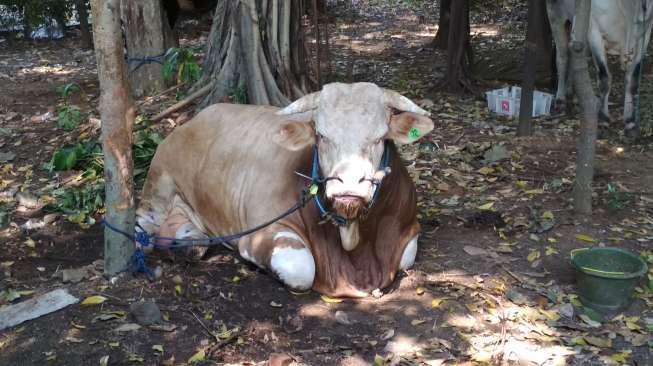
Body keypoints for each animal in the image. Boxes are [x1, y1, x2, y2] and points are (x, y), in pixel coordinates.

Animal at [136, 82, 432, 298]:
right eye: (321, 135)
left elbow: (406, 258)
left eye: (381, 138)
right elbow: (301, 268)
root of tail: (192, 120)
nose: (348, 184)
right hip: (159, 185)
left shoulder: (408, 230)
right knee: (143, 224)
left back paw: (187, 244)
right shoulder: (263, 232)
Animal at [544, 0, 652, 137]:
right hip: (555, 15)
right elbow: (604, 78)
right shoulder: (594, 31)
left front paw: (630, 122)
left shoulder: (645, 35)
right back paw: (560, 100)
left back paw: (569, 91)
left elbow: (633, 81)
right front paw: (603, 120)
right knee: (562, 58)